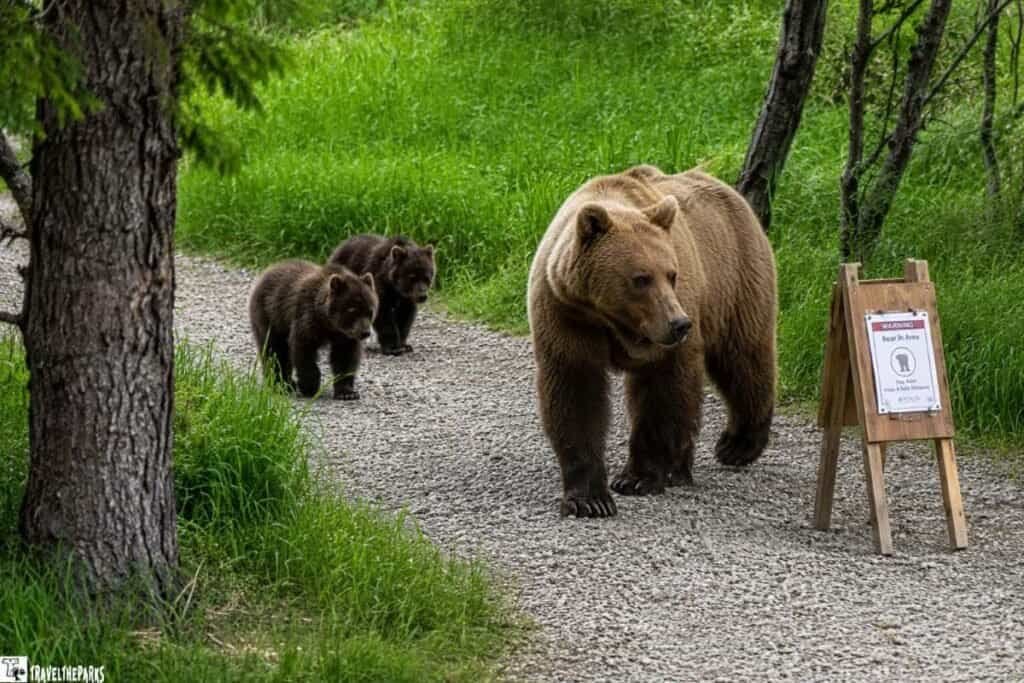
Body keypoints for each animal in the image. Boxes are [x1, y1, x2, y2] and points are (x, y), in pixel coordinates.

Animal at [249, 259, 378, 400]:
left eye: (370, 311)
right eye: (352, 310)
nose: (365, 332)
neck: (328, 323)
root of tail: (269, 270)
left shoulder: (345, 336)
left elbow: (345, 358)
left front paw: (347, 392)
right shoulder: (306, 318)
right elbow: (303, 350)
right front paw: (309, 387)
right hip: (271, 316)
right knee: (274, 351)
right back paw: (282, 384)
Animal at [527, 164, 777, 518]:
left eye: (671, 274)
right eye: (640, 279)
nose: (679, 324)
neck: (614, 322)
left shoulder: (668, 328)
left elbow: (663, 392)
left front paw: (637, 478)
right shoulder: (565, 313)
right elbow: (574, 392)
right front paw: (590, 499)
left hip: (736, 279)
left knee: (743, 358)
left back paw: (736, 445)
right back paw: (681, 467)